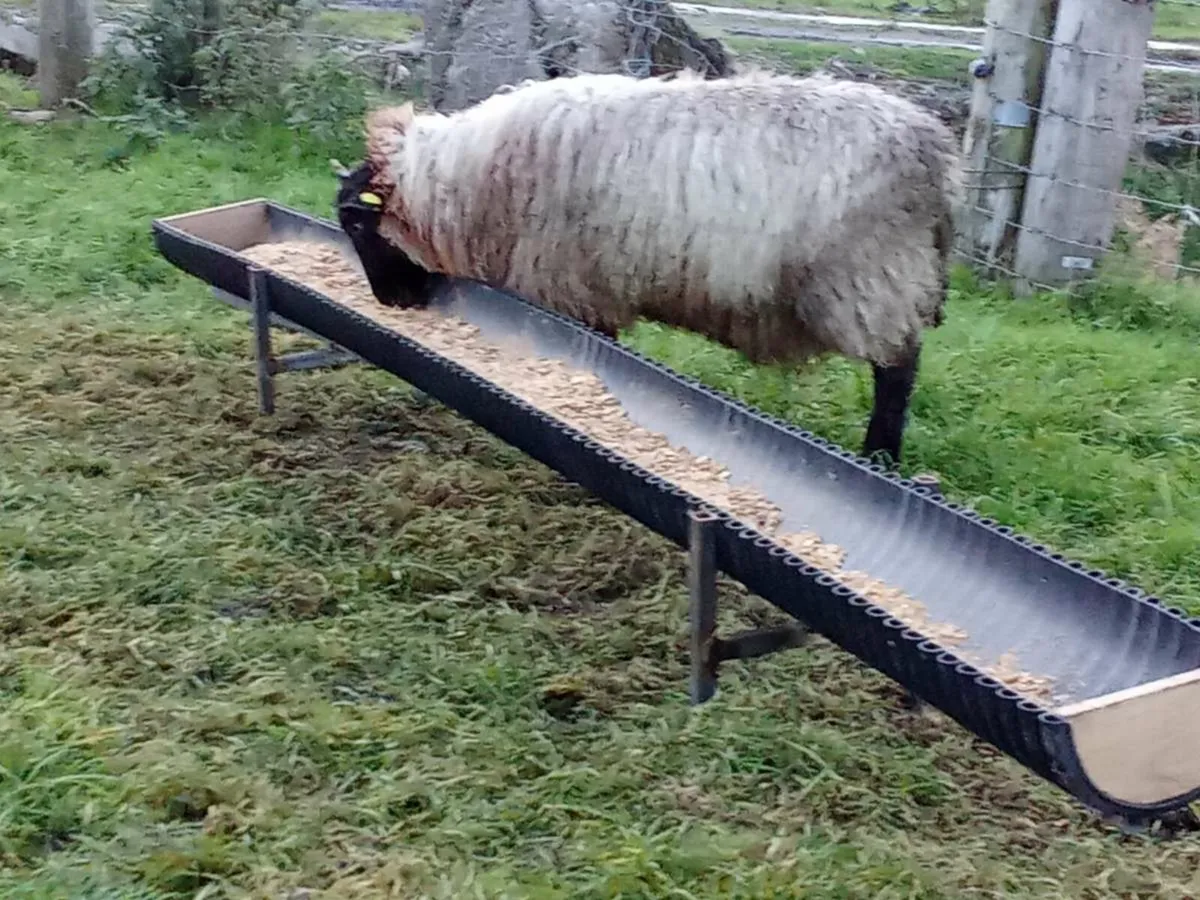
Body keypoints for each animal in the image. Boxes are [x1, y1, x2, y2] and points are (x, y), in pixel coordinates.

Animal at [334, 69, 960, 466]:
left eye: (359, 227)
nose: (392, 302)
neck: (460, 183)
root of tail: (939, 156)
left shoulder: (570, 285)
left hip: (872, 280)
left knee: (896, 374)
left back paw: (879, 456)